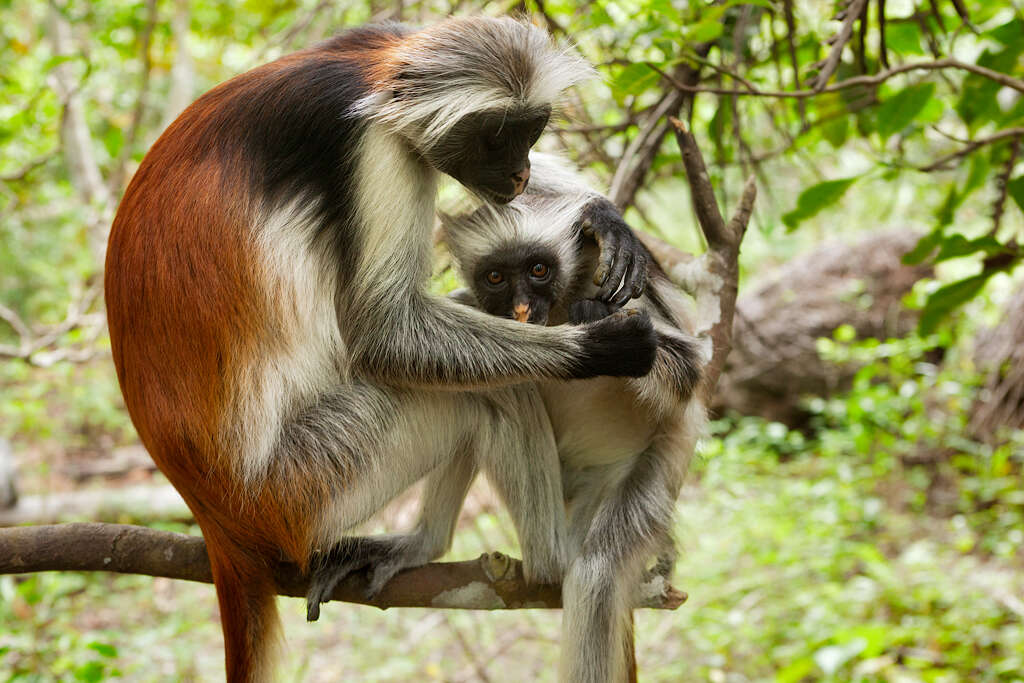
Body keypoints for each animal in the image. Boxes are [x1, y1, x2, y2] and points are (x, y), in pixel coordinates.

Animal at [103, 15, 655, 683]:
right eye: (496, 138)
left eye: (533, 131)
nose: (521, 175)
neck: (374, 77)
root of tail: (216, 520)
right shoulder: (374, 148)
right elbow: (381, 334)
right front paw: (598, 348)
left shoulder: (379, 40)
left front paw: (599, 211)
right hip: (304, 485)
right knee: (495, 392)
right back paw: (546, 560)